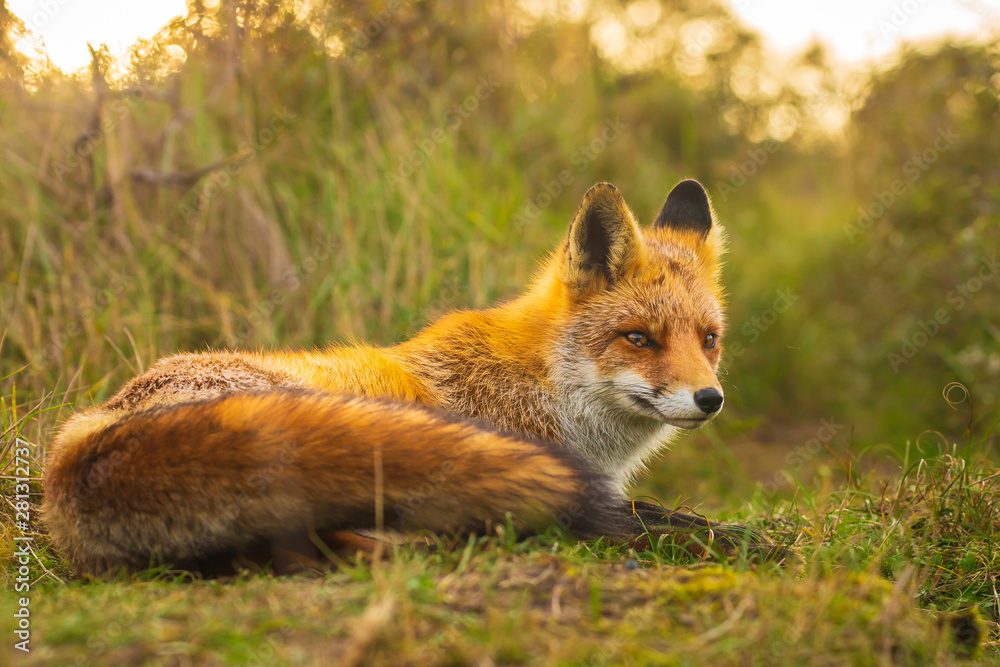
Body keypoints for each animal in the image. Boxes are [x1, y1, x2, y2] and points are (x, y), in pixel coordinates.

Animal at [42, 179, 778, 577]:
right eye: (639, 339)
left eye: (708, 339)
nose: (709, 399)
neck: (544, 391)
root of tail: (75, 449)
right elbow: (657, 519)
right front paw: (746, 540)